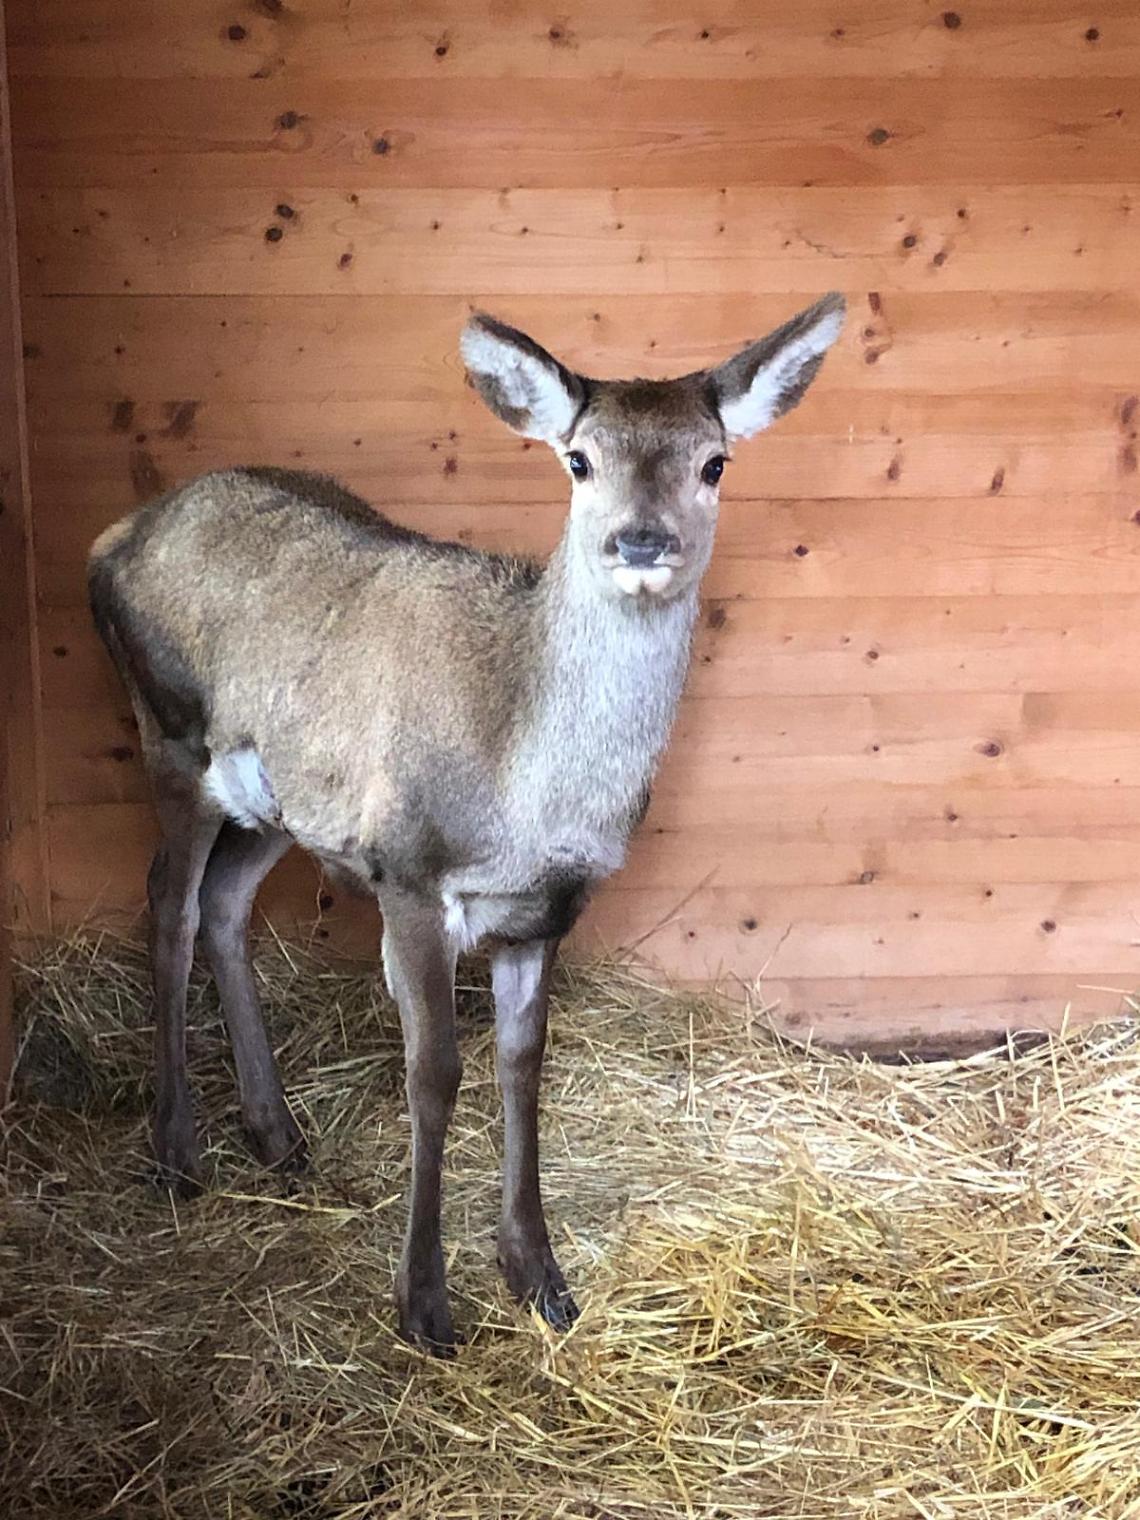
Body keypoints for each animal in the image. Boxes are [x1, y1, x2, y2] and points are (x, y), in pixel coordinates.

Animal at [87, 293, 845, 1353]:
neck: (527, 799)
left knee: (228, 902)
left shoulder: (546, 911)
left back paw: (277, 1136)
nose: (641, 542)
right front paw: (425, 1303)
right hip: (172, 735)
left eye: (714, 462)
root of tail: (114, 538)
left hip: (276, 799)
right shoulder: (406, 869)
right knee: (169, 901)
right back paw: (177, 1153)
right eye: (579, 459)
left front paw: (540, 1277)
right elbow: (435, 1072)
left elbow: (523, 1066)